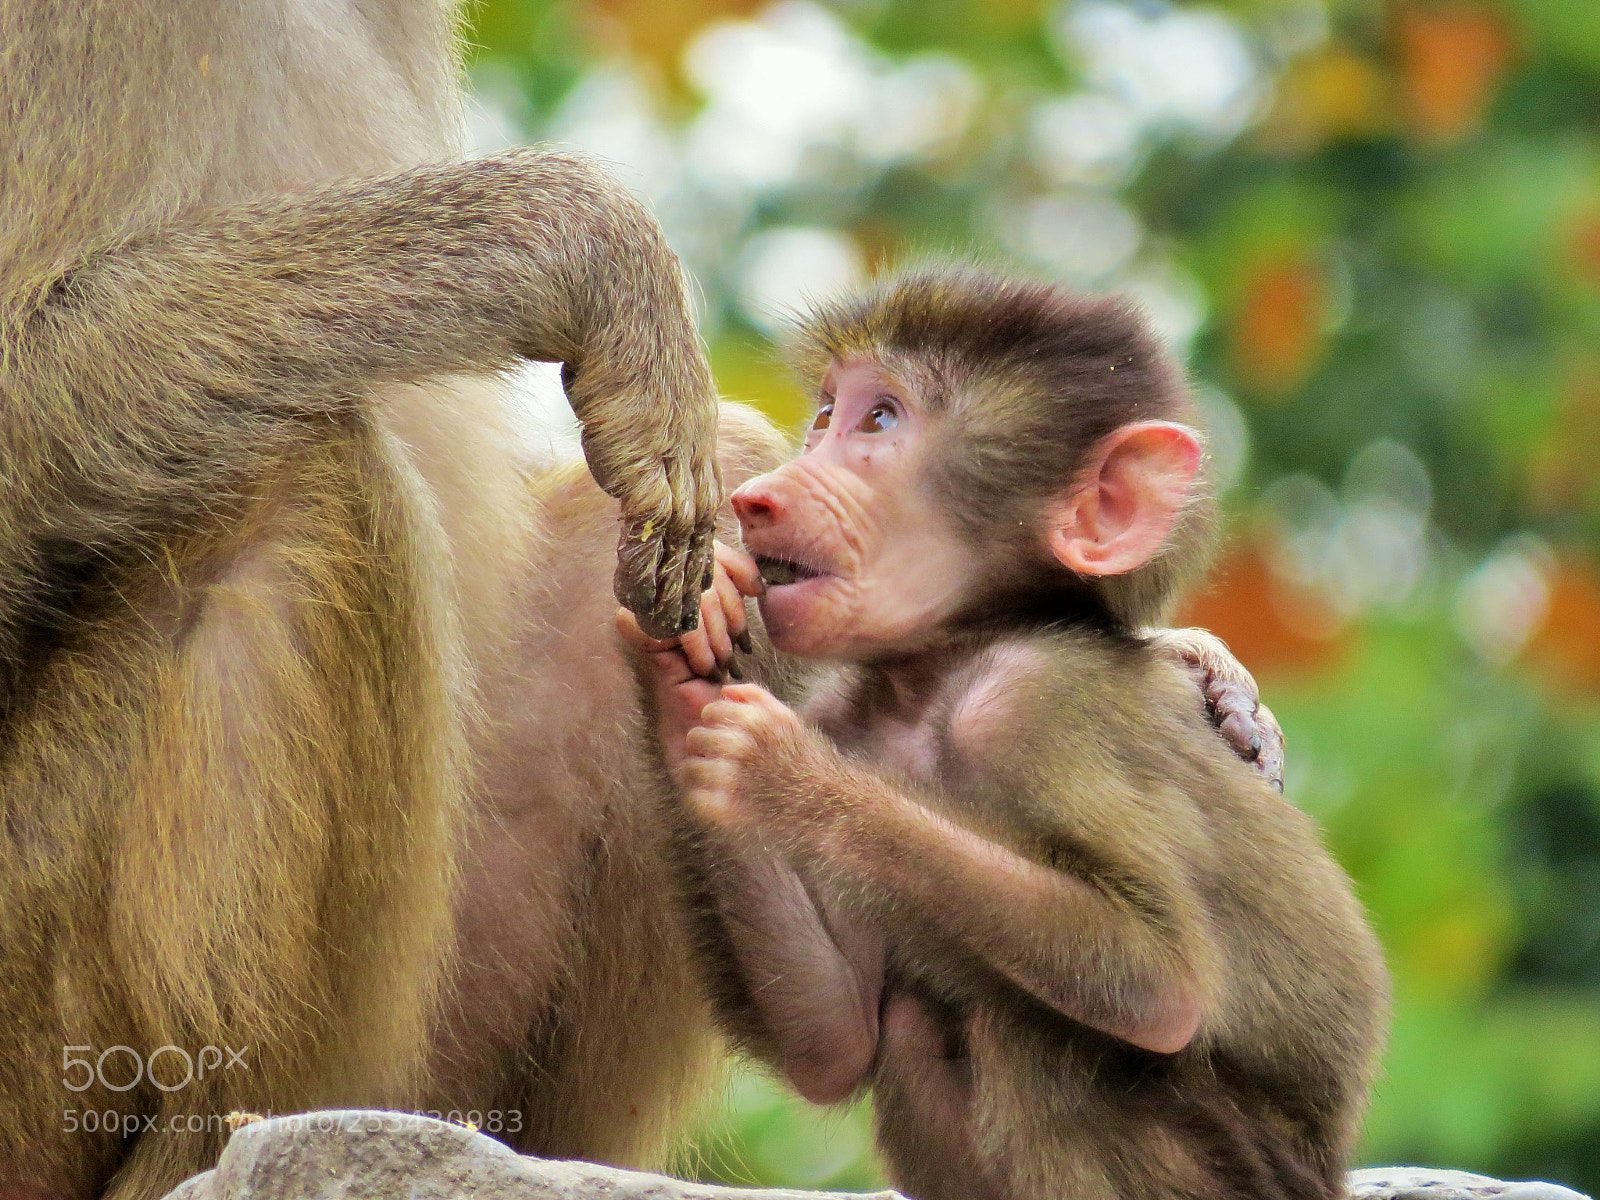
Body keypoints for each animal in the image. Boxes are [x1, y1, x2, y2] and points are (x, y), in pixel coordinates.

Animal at [625, 268, 1390, 1200]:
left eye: (880, 420)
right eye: (825, 414)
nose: (759, 497)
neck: (942, 675)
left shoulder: (1040, 709)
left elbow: (1159, 981)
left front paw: (787, 774)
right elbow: (834, 1038)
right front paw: (684, 676)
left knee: (1022, 1026)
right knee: (913, 1024)